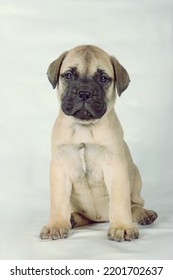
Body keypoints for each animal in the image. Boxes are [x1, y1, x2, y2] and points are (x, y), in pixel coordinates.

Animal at [39, 45, 157, 241]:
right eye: (69, 75)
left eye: (103, 79)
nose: (84, 93)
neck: (84, 128)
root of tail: (99, 218)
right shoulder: (60, 168)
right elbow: (58, 201)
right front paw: (56, 224)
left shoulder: (115, 167)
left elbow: (119, 201)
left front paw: (122, 227)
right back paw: (72, 218)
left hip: (135, 176)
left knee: (134, 204)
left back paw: (143, 214)